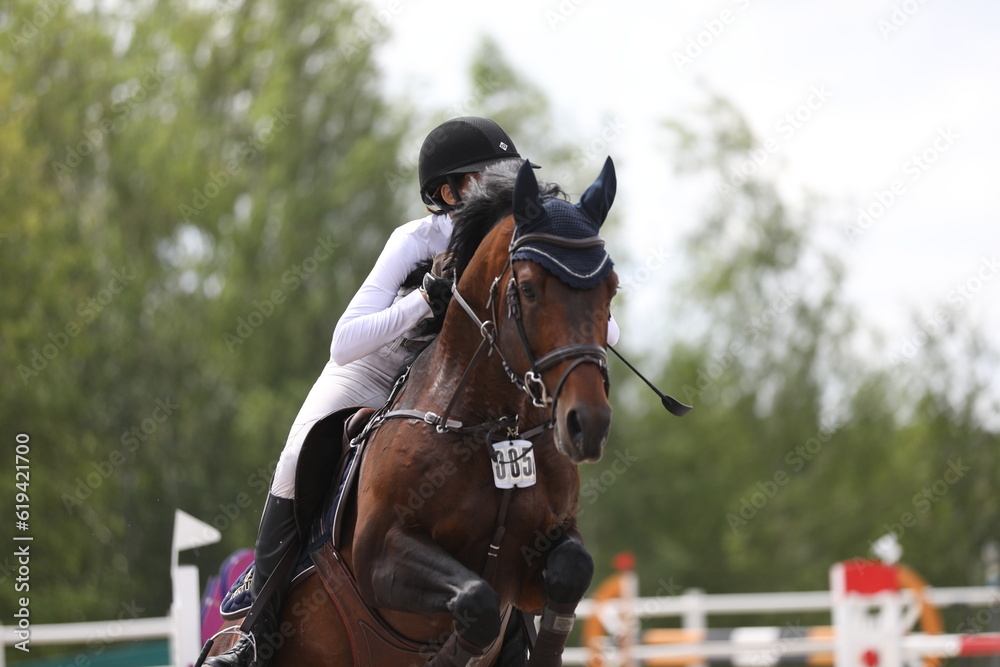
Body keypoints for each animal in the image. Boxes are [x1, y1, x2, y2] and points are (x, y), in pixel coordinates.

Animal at [205, 157, 619, 667]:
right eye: (528, 289)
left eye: (611, 290)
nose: (589, 424)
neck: (497, 426)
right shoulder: (379, 558)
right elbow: (475, 600)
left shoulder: (533, 564)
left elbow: (571, 569)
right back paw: (240, 646)